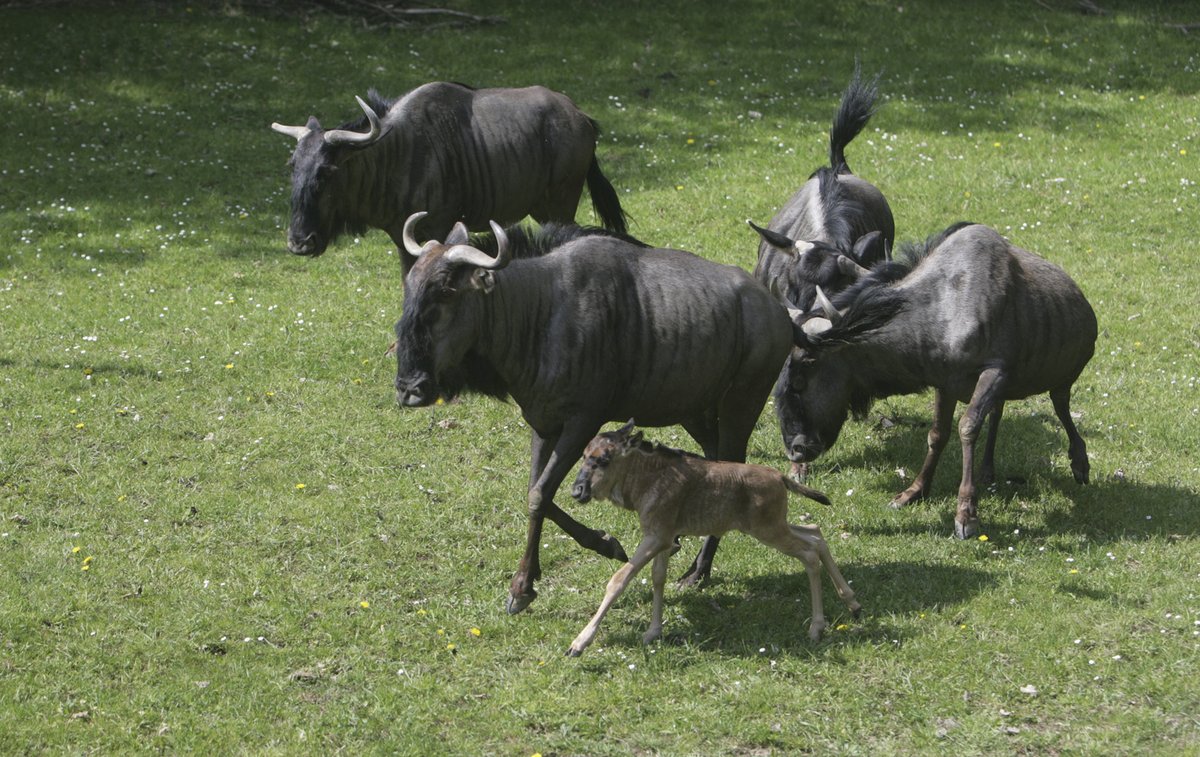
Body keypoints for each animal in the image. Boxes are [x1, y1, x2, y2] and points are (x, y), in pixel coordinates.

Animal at [566, 419, 859, 657]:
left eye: (603, 460)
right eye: (583, 456)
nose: (577, 491)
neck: (647, 477)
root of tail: (779, 477)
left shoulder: (656, 537)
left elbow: (619, 579)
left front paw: (579, 643)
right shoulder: (663, 537)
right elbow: (658, 578)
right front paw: (652, 632)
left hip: (769, 530)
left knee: (809, 554)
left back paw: (816, 628)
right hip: (773, 525)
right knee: (816, 534)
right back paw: (852, 603)